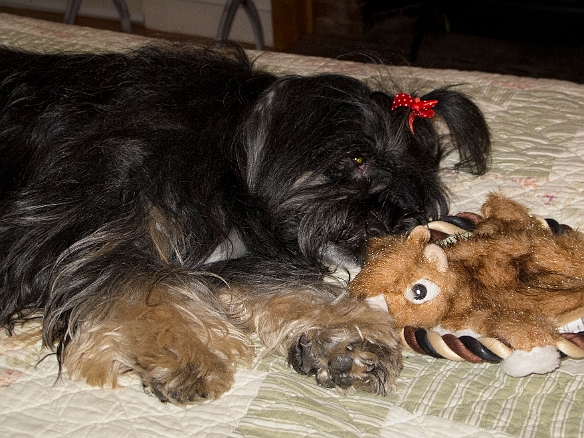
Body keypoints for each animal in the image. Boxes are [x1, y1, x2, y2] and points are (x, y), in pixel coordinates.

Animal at [0, 43, 488, 404]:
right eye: (357, 159)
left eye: (412, 191)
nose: (396, 221)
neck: (227, 154)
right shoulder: (84, 226)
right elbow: (141, 281)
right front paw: (183, 351)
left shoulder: (240, 249)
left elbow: (275, 283)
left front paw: (345, 340)